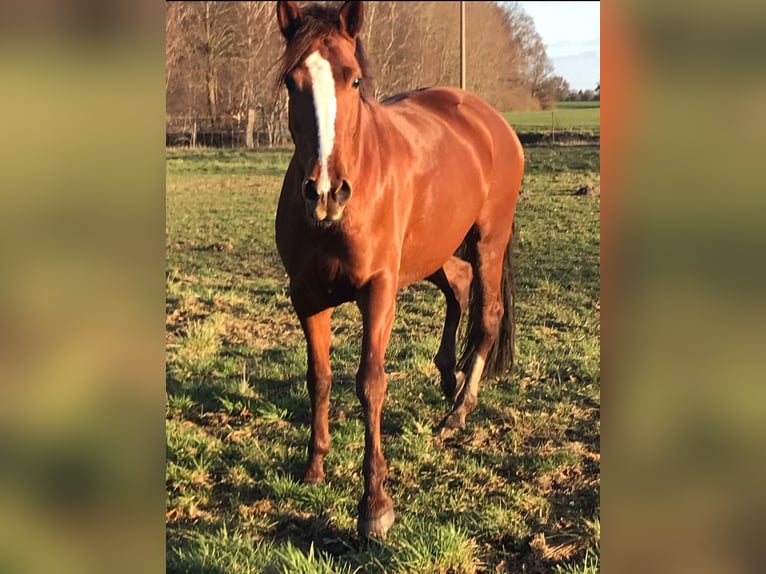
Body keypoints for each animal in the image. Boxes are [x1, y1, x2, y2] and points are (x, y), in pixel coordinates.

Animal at [272, 0, 524, 540]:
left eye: (353, 79)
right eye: (290, 81)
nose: (325, 192)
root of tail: (489, 120)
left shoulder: (379, 289)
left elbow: (370, 384)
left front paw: (374, 505)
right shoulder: (305, 295)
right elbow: (319, 377)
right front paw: (314, 467)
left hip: (488, 242)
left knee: (487, 315)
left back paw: (459, 411)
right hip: (434, 252)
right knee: (458, 286)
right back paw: (449, 377)